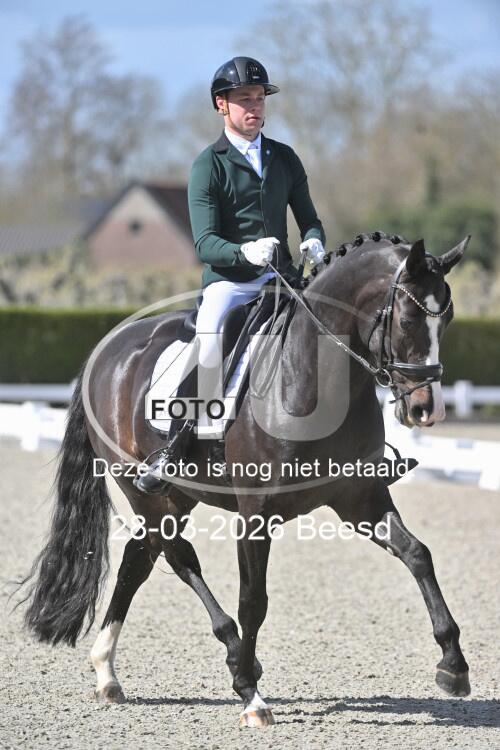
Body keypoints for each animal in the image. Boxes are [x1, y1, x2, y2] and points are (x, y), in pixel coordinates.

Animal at [21, 231, 471, 728]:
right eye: (408, 319)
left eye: (448, 319)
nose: (428, 410)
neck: (315, 377)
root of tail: (107, 350)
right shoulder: (255, 514)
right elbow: (253, 599)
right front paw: (250, 697)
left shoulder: (360, 499)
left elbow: (417, 555)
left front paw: (453, 666)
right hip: (144, 490)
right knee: (177, 557)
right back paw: (233, 659)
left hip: (177, 495)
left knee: (140, 558)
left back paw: (109, 672)